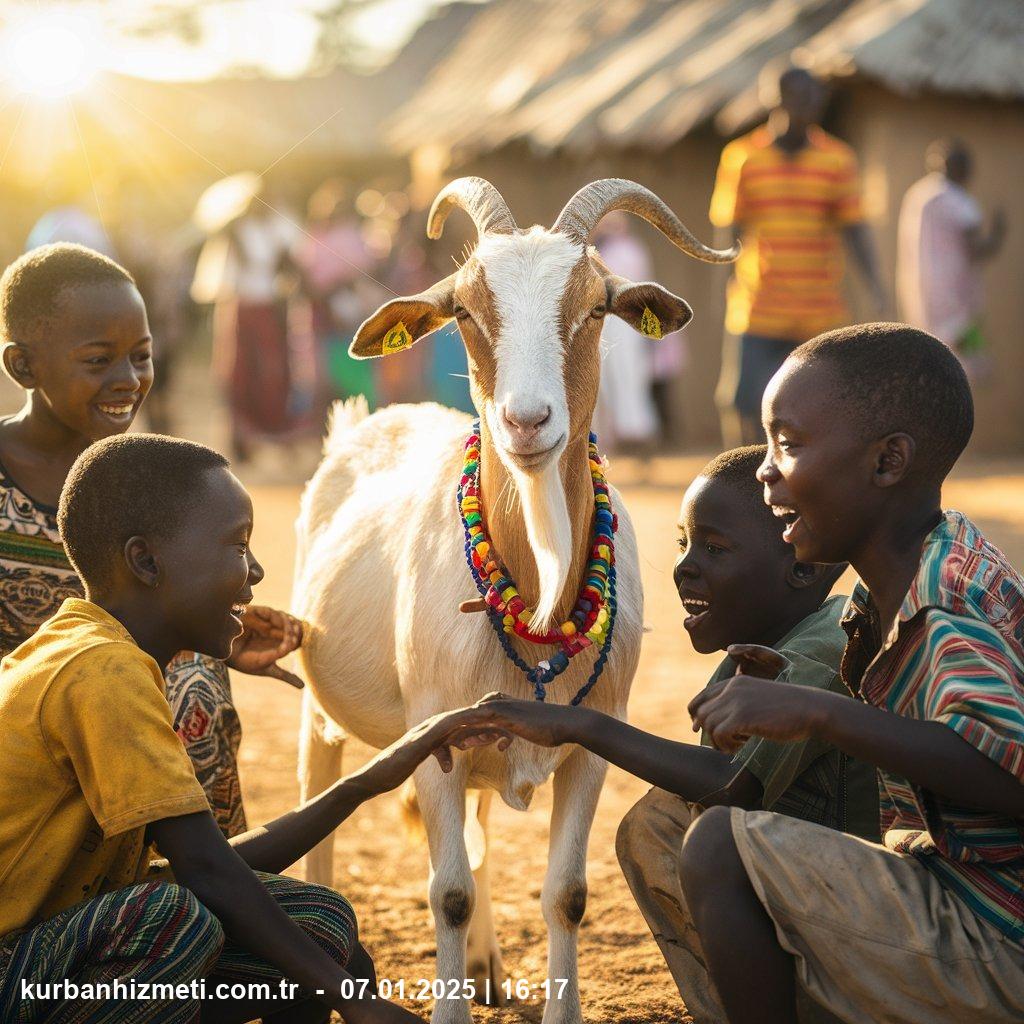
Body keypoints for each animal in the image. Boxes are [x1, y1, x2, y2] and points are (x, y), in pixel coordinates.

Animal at [292, 178, 733, 1024]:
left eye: (593, 307)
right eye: (465, 310)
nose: (527, 421)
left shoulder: (595, 740)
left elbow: (567, 894)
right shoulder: (432, 740)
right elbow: (449, 893)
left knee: (483, 827)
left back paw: (490, 967)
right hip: (317, 700)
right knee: (319, 802)